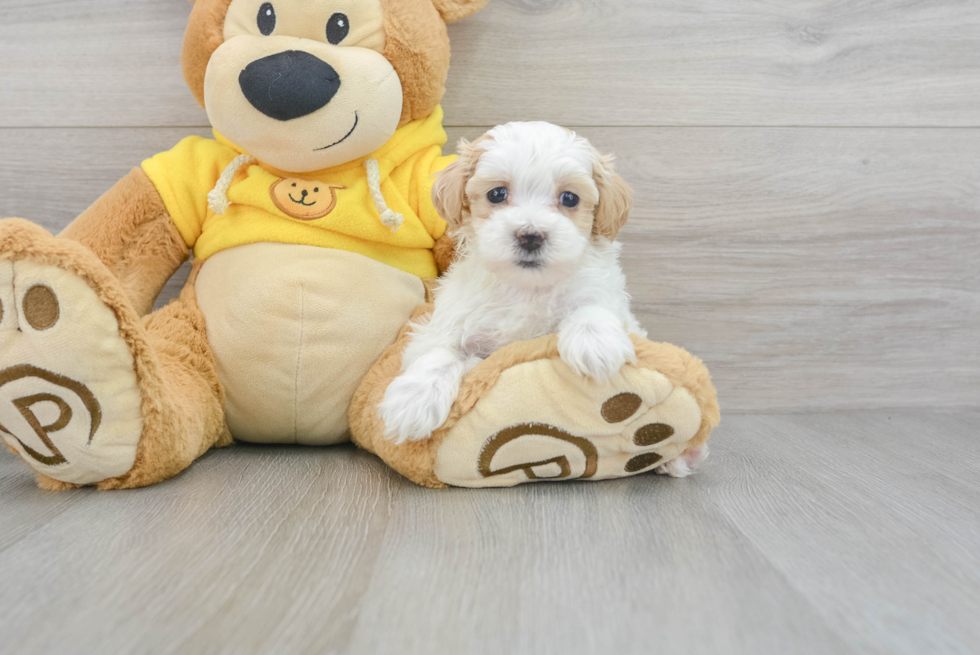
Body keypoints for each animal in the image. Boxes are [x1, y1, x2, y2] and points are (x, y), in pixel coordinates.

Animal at [380, 123, 644, 446]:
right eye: (497, 193)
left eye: (570, 198)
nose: (530, 235)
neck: (525, 287)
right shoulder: (446, 324)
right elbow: (438, 353)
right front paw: (413, 401)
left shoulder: (608, 298)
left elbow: (592, 303)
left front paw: (596, 343)